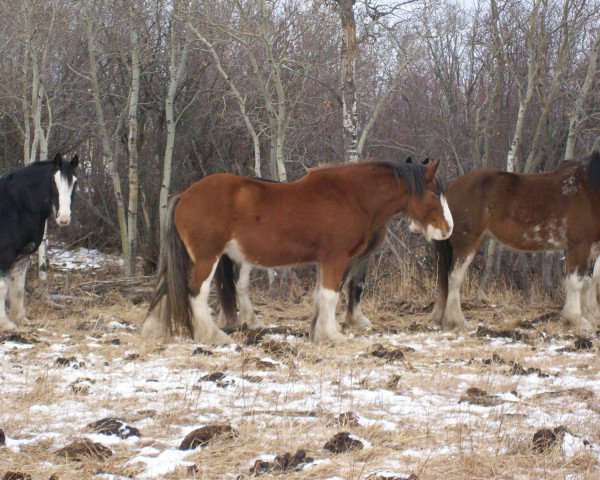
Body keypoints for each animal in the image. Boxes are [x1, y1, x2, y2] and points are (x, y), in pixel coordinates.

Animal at [0, 154, 78, 330]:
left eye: (75, 183)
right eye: (53, 181)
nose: (64, 218)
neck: (18, 206)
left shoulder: (23, 254)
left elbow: (18, 288)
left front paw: (21, 319)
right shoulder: (4, 255)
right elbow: (3, 287)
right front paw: (5, 324)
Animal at [143, 161, 452, 344]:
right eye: (434, 193)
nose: (447, 229)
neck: (351, 196)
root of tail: (184, 195)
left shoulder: (326, 262)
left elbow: (320, 297)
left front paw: (319, 332)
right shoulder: (336, 259)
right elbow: (330, 296)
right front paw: (333, 335)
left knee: (166, 289)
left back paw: (155, 330)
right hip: (207, 258)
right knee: (195, 293)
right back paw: (213, 336)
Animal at [434, 152, 600, 332]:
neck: (589, 189)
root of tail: (451, 188)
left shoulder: (593, 247)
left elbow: (591, 280)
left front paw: (591, 317)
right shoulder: (579, 246)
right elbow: (577, 282)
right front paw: (577, 320)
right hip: (466, 243)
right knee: (454, 278)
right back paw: (458, 322)